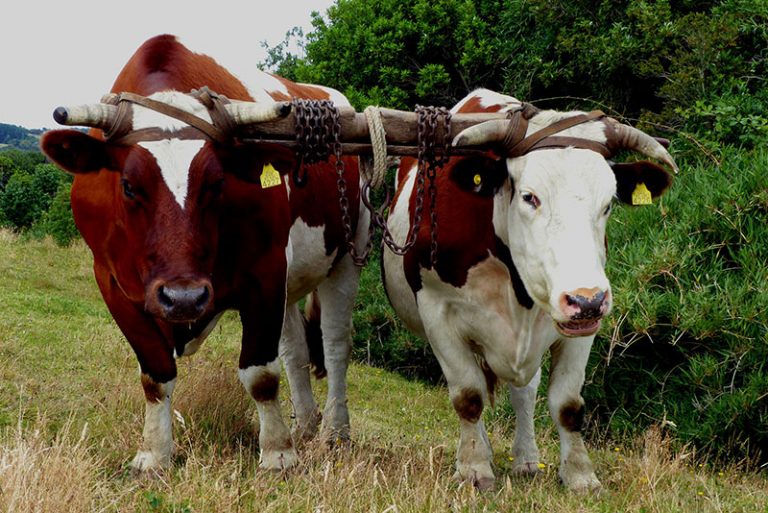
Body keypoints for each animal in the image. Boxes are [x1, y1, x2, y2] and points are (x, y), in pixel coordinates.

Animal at [39, 34, 369, 473]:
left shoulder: (265, 271)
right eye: (128, 185)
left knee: (334, 347)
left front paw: (277, 454)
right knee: (296, 351)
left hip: (348, 256)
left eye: (217, 183)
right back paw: (306, 426)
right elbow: (155, 375)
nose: (184, 298)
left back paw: (335, 432)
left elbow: (261, 374)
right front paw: (154, 454)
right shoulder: (111, 281)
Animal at [382, 88, 677, 492]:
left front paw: (580, 474)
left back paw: (525, 460)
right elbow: (468, 396)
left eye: (608, 204)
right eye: (529, 197)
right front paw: (474, 468)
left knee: (524, 392)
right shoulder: (437, 313)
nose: (586, 300)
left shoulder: (580, 326)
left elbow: (567, 404)